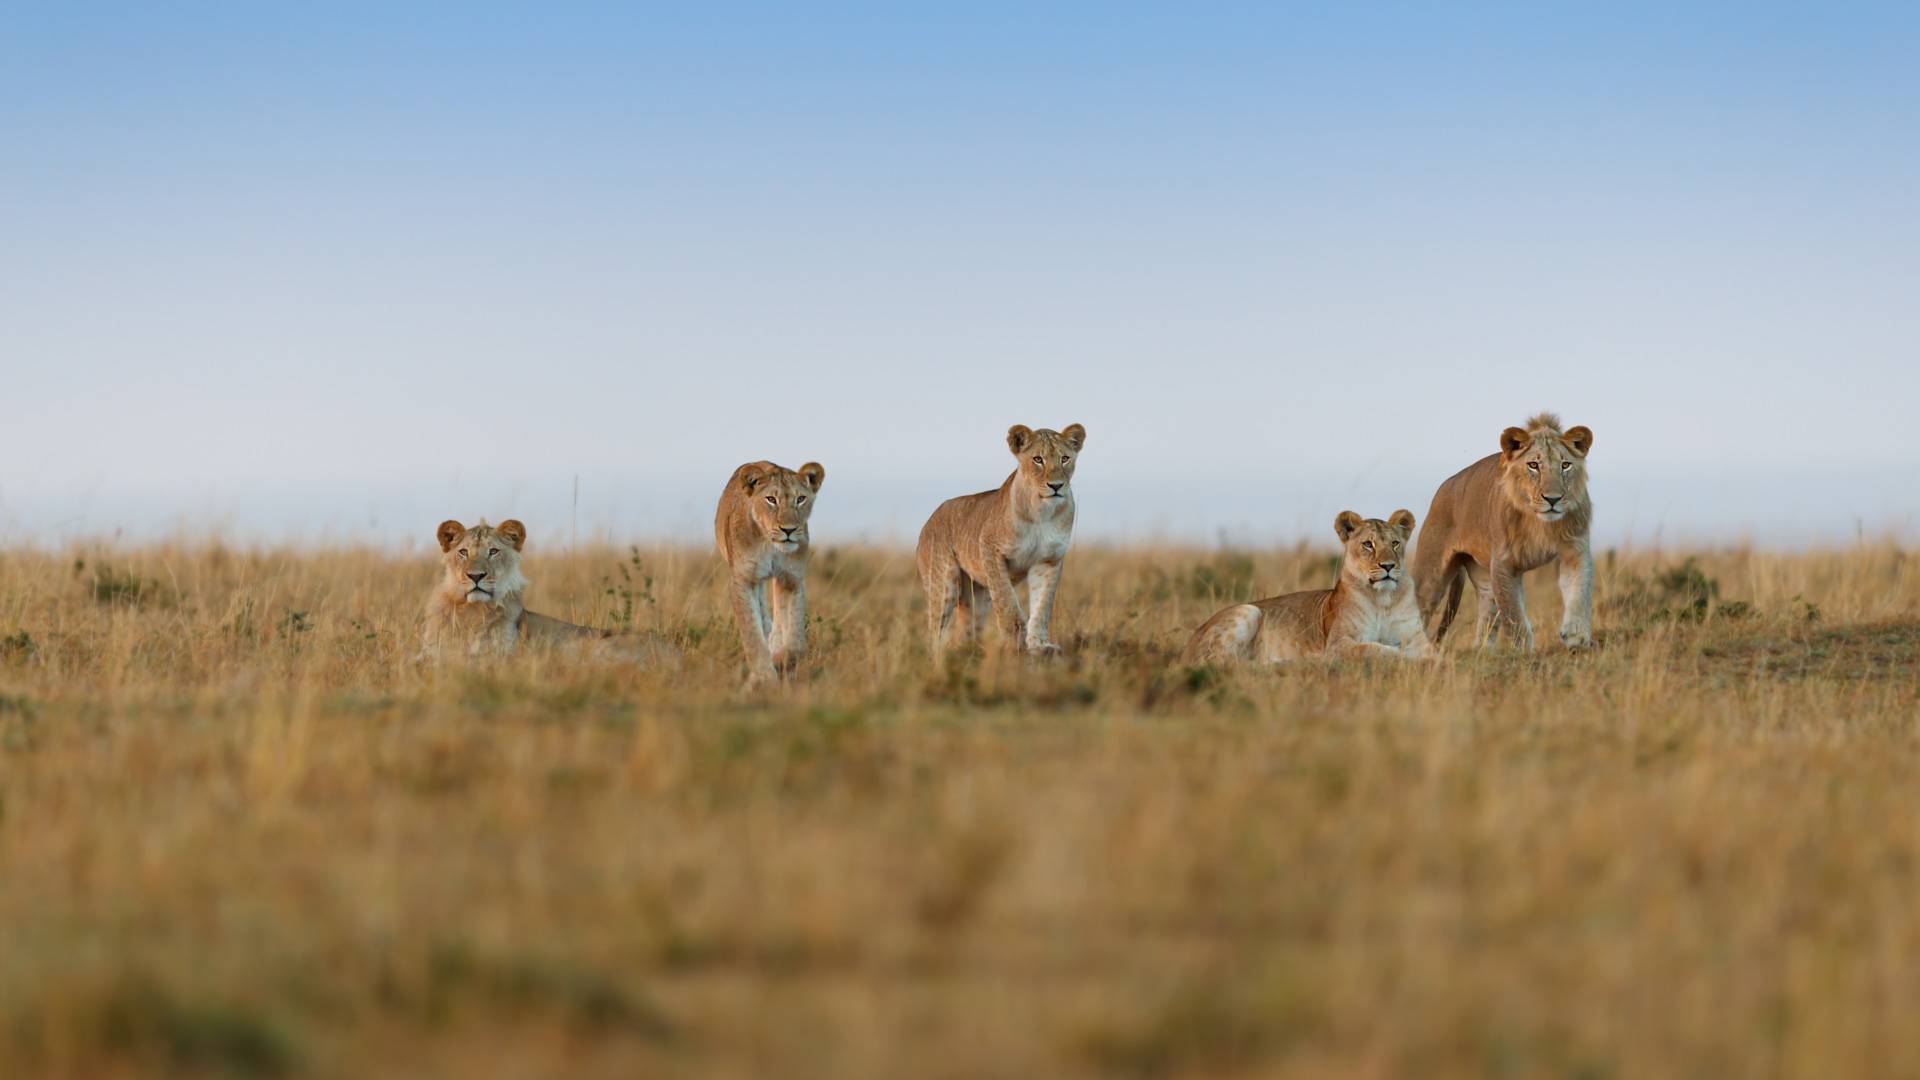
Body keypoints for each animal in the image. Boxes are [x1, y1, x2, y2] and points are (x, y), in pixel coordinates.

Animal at [420, 515, 683, 664]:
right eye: (463, 552)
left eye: (493, 551)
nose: (476, 576)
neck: (472, 611)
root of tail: (675, 653)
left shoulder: (500, 656)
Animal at [1175, 507, 1436, 664]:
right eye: (1368, 544)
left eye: (1395, 543)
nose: (1388, 566)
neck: (1383, 600)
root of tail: (1187, 646)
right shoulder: (1338, 644)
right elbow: (1374, 649)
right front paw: (1400, 654)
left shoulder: (1417, 637)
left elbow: (1433, 652)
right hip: (1248, 611)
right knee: (1223, 663)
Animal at [1420, 409, 1597, 645]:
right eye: (1534, 465)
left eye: (1565, 465)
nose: (1553, 499)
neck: (1541, 524)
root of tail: (1445, 485)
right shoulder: (1504, 564)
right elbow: (1515, 618)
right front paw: (1523, 649)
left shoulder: (1575, 550)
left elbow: (1580, 592)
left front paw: (1576, 636)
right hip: (1431, 576)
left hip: (1485, 581)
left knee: (1484, 625)